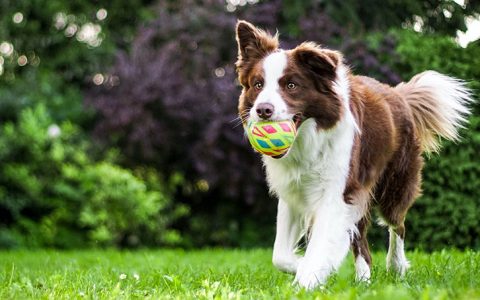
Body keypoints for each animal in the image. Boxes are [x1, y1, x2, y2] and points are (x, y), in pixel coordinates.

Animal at [234, 20, 474, 288]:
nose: (263, 110)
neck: (308, 140)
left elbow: (320, 244)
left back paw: (396, 266)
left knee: (397, 225)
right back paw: (363, 280)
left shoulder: (337, 192)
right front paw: (306, 267)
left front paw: (307, 279)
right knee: (361, 240)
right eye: (258, 85)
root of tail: (399, 94)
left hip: (394, 184)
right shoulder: (294, 192)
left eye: (291, 85)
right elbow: (280, 255)